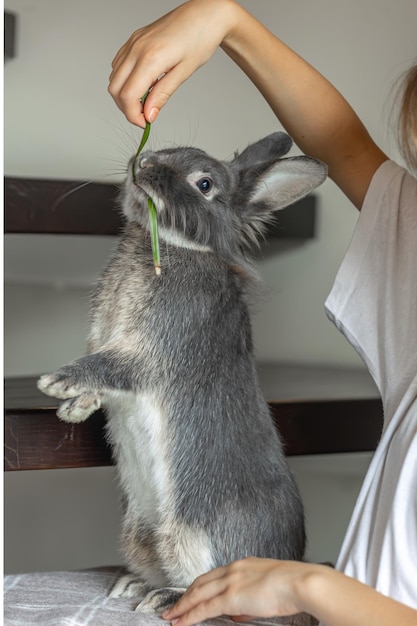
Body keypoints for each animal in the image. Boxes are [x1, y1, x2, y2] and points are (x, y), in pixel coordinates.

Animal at [37, 129, 326, 612]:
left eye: (204, 184)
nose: (145, 160)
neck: (170, 245)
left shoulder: (150, 351)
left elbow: (109, 367)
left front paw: (57, 382)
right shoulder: (106, 338)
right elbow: (104, 381)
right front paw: (75, 409)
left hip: (192, 536)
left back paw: (164, 599)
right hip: (141, 534)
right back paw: (134, 587)